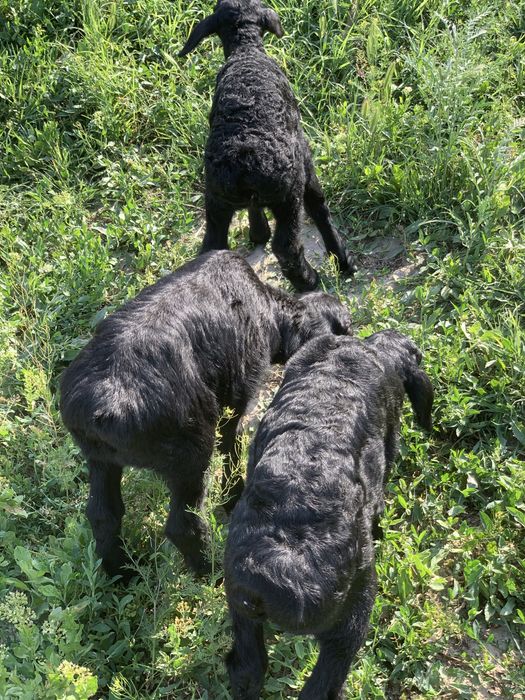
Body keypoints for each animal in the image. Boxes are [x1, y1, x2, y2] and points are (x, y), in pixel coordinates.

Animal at [60, 250, 351, 581]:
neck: (266, 306)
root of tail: (104, 404)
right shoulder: (234, 404)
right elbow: (231, 449)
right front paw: (234, 497)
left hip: (100, 459)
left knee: (102, 515)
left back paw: (121, 572)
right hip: (189, 454)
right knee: (182, 525)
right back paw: (211, 572)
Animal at [179, 0, 357, 292]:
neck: (245, 51)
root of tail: (242, 162)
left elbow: (255, 208)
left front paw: (258, 232)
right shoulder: (302, 152)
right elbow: (318, 204)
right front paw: (343, 260)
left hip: (216, 200)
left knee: (213, 244)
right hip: (287, 194)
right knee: (287, 246)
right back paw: (309, 280)